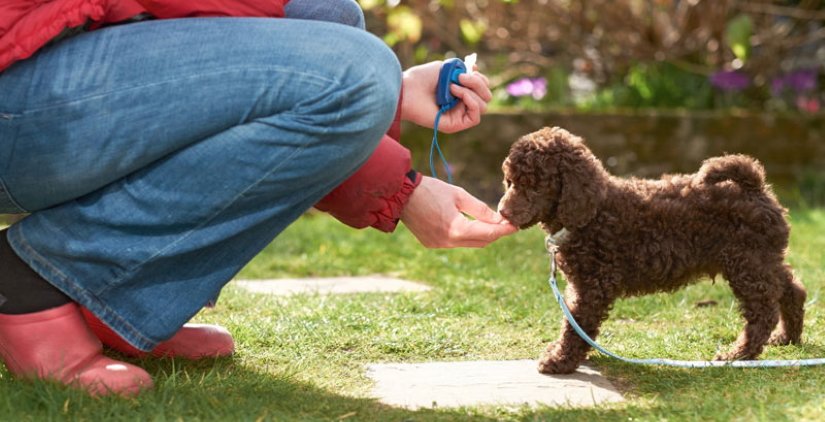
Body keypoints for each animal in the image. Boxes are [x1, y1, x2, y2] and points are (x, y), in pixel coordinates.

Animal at [496, 127, 804, 374]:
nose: (502, 212)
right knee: (792, 289)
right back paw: (787, 337)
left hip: (747, 263)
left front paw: (560, 361)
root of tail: (755, 187)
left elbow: (576, 325)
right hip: (762, 259)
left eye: (534, 186)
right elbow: (573, 322)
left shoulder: (594, 285)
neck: (592, 213)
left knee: (763, 311)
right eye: (510, 182)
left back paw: (738, 355)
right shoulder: (582, 284)